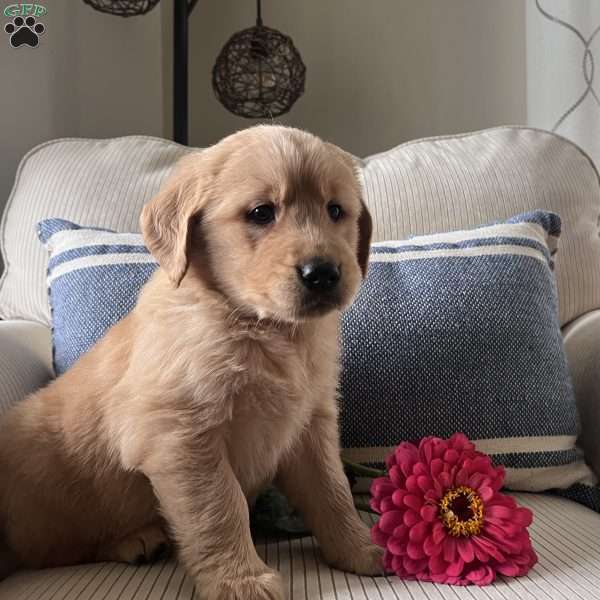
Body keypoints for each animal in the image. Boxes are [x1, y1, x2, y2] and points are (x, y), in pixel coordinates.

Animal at [0, 124, 382, 596]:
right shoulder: (180, 435)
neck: (263, 328)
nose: (323, 273)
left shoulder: (312, 425)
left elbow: (333, 491)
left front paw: (358, 547)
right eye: (261, 212)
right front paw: (240, 579)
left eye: (336, 211)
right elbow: (219, 507)